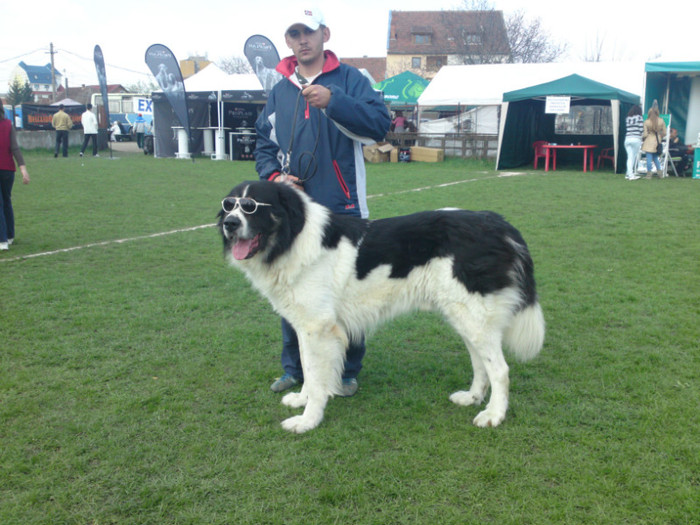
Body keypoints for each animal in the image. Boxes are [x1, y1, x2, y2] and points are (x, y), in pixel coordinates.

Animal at [219, 180, 548, 434]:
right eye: (229, 205)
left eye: (252, 206)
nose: (229, 224)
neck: (292, 239)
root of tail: (497, 223)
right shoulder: (307, 327)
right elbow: (309, 370)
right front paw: (302, 400)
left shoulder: (318, 328)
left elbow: (314, 373)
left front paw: (307, 420)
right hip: (465, 315)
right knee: (480, 362)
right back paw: (472, 397)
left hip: (473, 313)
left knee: (500, 369)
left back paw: (494, 415)